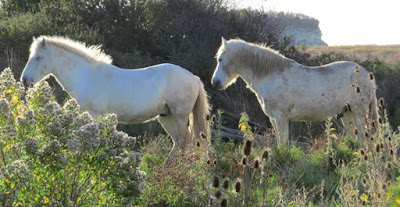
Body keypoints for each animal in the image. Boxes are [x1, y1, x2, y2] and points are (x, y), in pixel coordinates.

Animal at [20, 35, 211, 159]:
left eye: (38, 57)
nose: (24, 80)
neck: (86, 76)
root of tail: (193, 78)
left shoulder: (95, 115)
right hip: (166, 117)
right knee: (178, 143)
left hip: (179, 116)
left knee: (185, 143)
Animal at [211, 37, 380, 143]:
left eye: (220, 59)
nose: (215, 82)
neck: (271, 75)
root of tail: (368, 76)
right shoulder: (273, 119)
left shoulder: (281, 117)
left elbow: (283, 143)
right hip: (348, 114)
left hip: (358, 113)